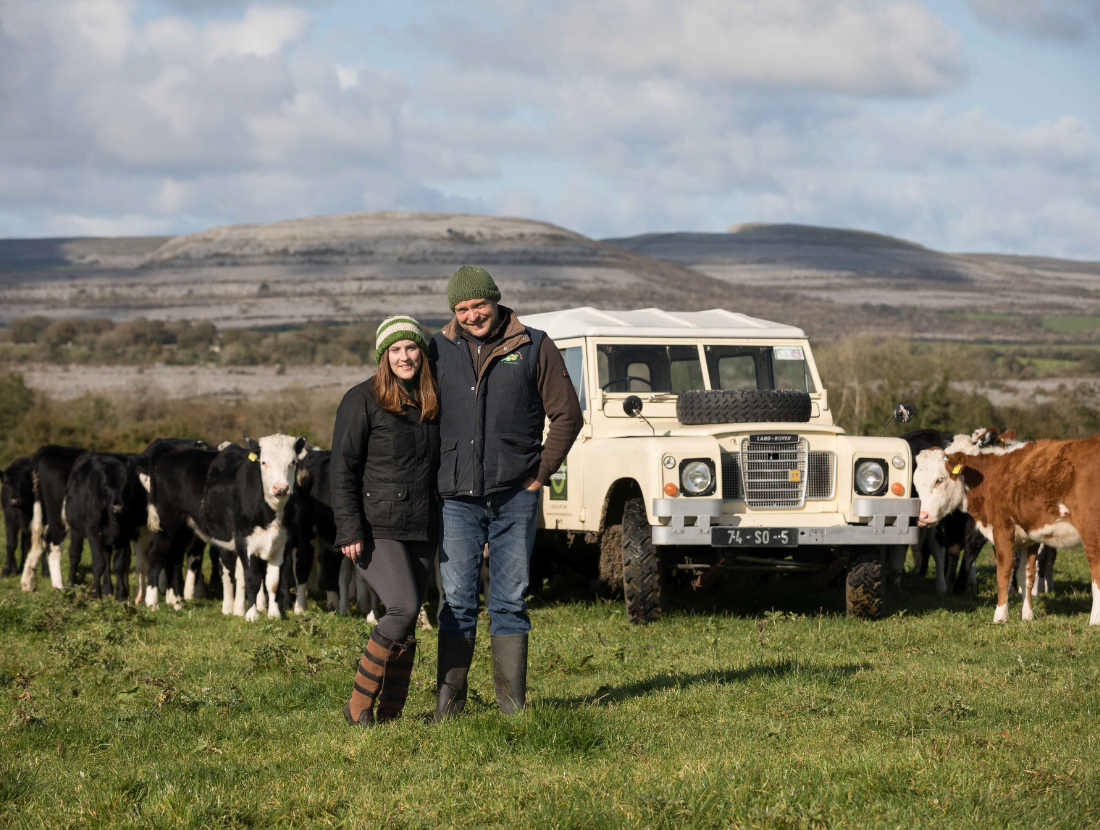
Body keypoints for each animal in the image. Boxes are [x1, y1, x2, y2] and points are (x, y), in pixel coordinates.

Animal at [19, 444, 85, 593]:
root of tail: (50, 448)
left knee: (38, 537)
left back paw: (26, 583)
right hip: (59, 512)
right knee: (54, 540)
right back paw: (60, 586)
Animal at [62, 450, 147, 602]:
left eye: (127, 483)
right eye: (106, 484)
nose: (118, 507)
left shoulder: (123, 534)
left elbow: (118, 564)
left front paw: (121, 596)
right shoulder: (93, 531)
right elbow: (98, 563)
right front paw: (96, 594)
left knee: (107, 557)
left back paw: (108, 590)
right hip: (75, 529)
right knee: (74, 555)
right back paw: (71, 584)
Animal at [145, 435, 305, 615]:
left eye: (293, 462)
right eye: (263, 462)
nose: (281, 488)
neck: (270, 514)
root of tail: (169, 448)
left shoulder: (280, 543)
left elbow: (273, 582)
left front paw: (274, 614)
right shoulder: (244, 541)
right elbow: (252, 579)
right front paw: (250, 614)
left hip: (183, 529)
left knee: (174, 558)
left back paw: (177, 601)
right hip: (166, 524)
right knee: (155, 555)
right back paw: (152, 603)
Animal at [910, 441, 1091, 624]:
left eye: (939, 480)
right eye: (916, 484)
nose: (922, 517)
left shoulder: (1003, 533)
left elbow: (1004, 573)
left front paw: (1001, 616)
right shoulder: (1029, 539)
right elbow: (1026, 575)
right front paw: (1026, 615)